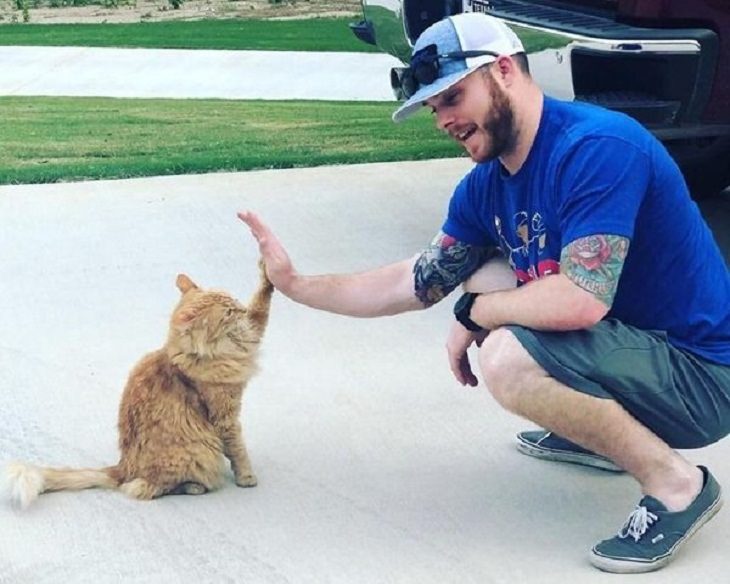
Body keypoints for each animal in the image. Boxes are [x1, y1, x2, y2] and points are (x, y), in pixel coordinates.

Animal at [2, 260, 272, 506]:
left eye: (233, 299)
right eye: (228, 313)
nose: (239, 308)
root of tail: (123, 467)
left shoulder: (251, 331)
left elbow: (261, 303)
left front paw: (267, 269)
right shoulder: (225, 416)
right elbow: (237, 449)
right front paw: (247, 477)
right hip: (197, 451)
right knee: (145, 487)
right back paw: (194, 487)